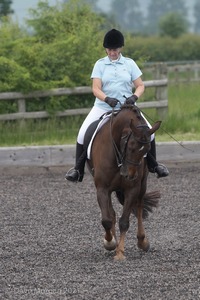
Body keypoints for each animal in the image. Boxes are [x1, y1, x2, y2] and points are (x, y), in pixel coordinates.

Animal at [87, 104, 161, 258]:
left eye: (147, 149)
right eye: (131, 145)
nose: (130, 175)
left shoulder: (132, 189)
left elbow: (124, 222)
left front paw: (120, 252)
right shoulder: (102, 188)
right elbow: (107, 220)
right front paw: (110, 243)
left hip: (142, 185)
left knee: (139, 207)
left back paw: (142, 241)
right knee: (112, 213)